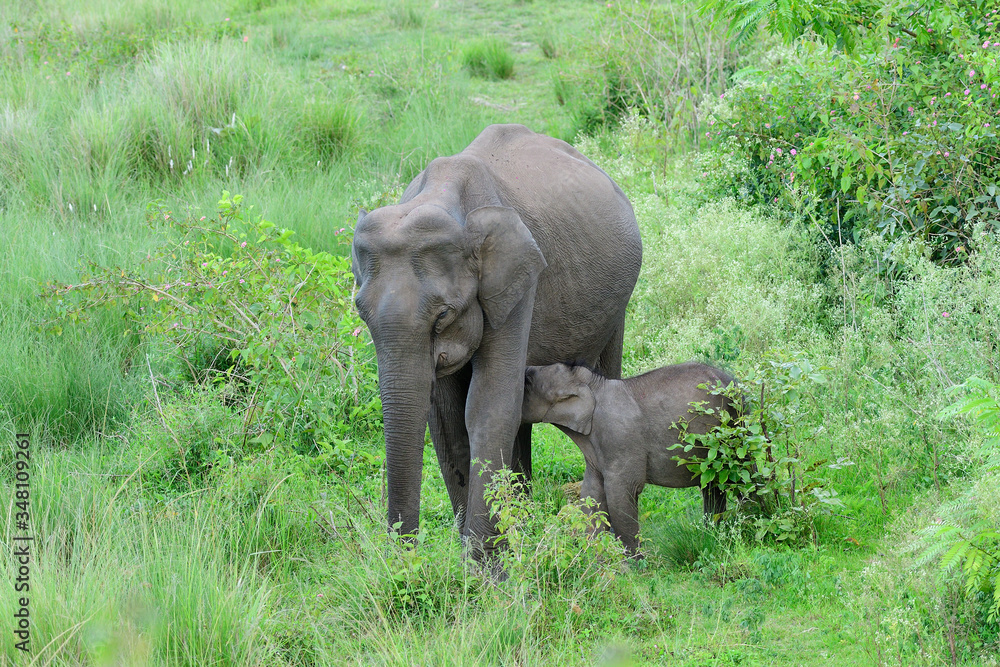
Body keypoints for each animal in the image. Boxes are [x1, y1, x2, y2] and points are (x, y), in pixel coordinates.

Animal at [351, 124, 642, 555]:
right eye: (360, 313)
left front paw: (482, 562)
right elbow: (446, 418)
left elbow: (488, 405)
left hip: (617, 303)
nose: (405, 553)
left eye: (444, 314)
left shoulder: (519, 280)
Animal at [521, 361, 736, 554]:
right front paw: (594, 556)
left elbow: (621, 493)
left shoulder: (620, 440)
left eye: (528, 382)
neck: (595, 384)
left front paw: (633, 563)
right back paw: (714, 536)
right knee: (713, 486)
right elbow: (592, 493)